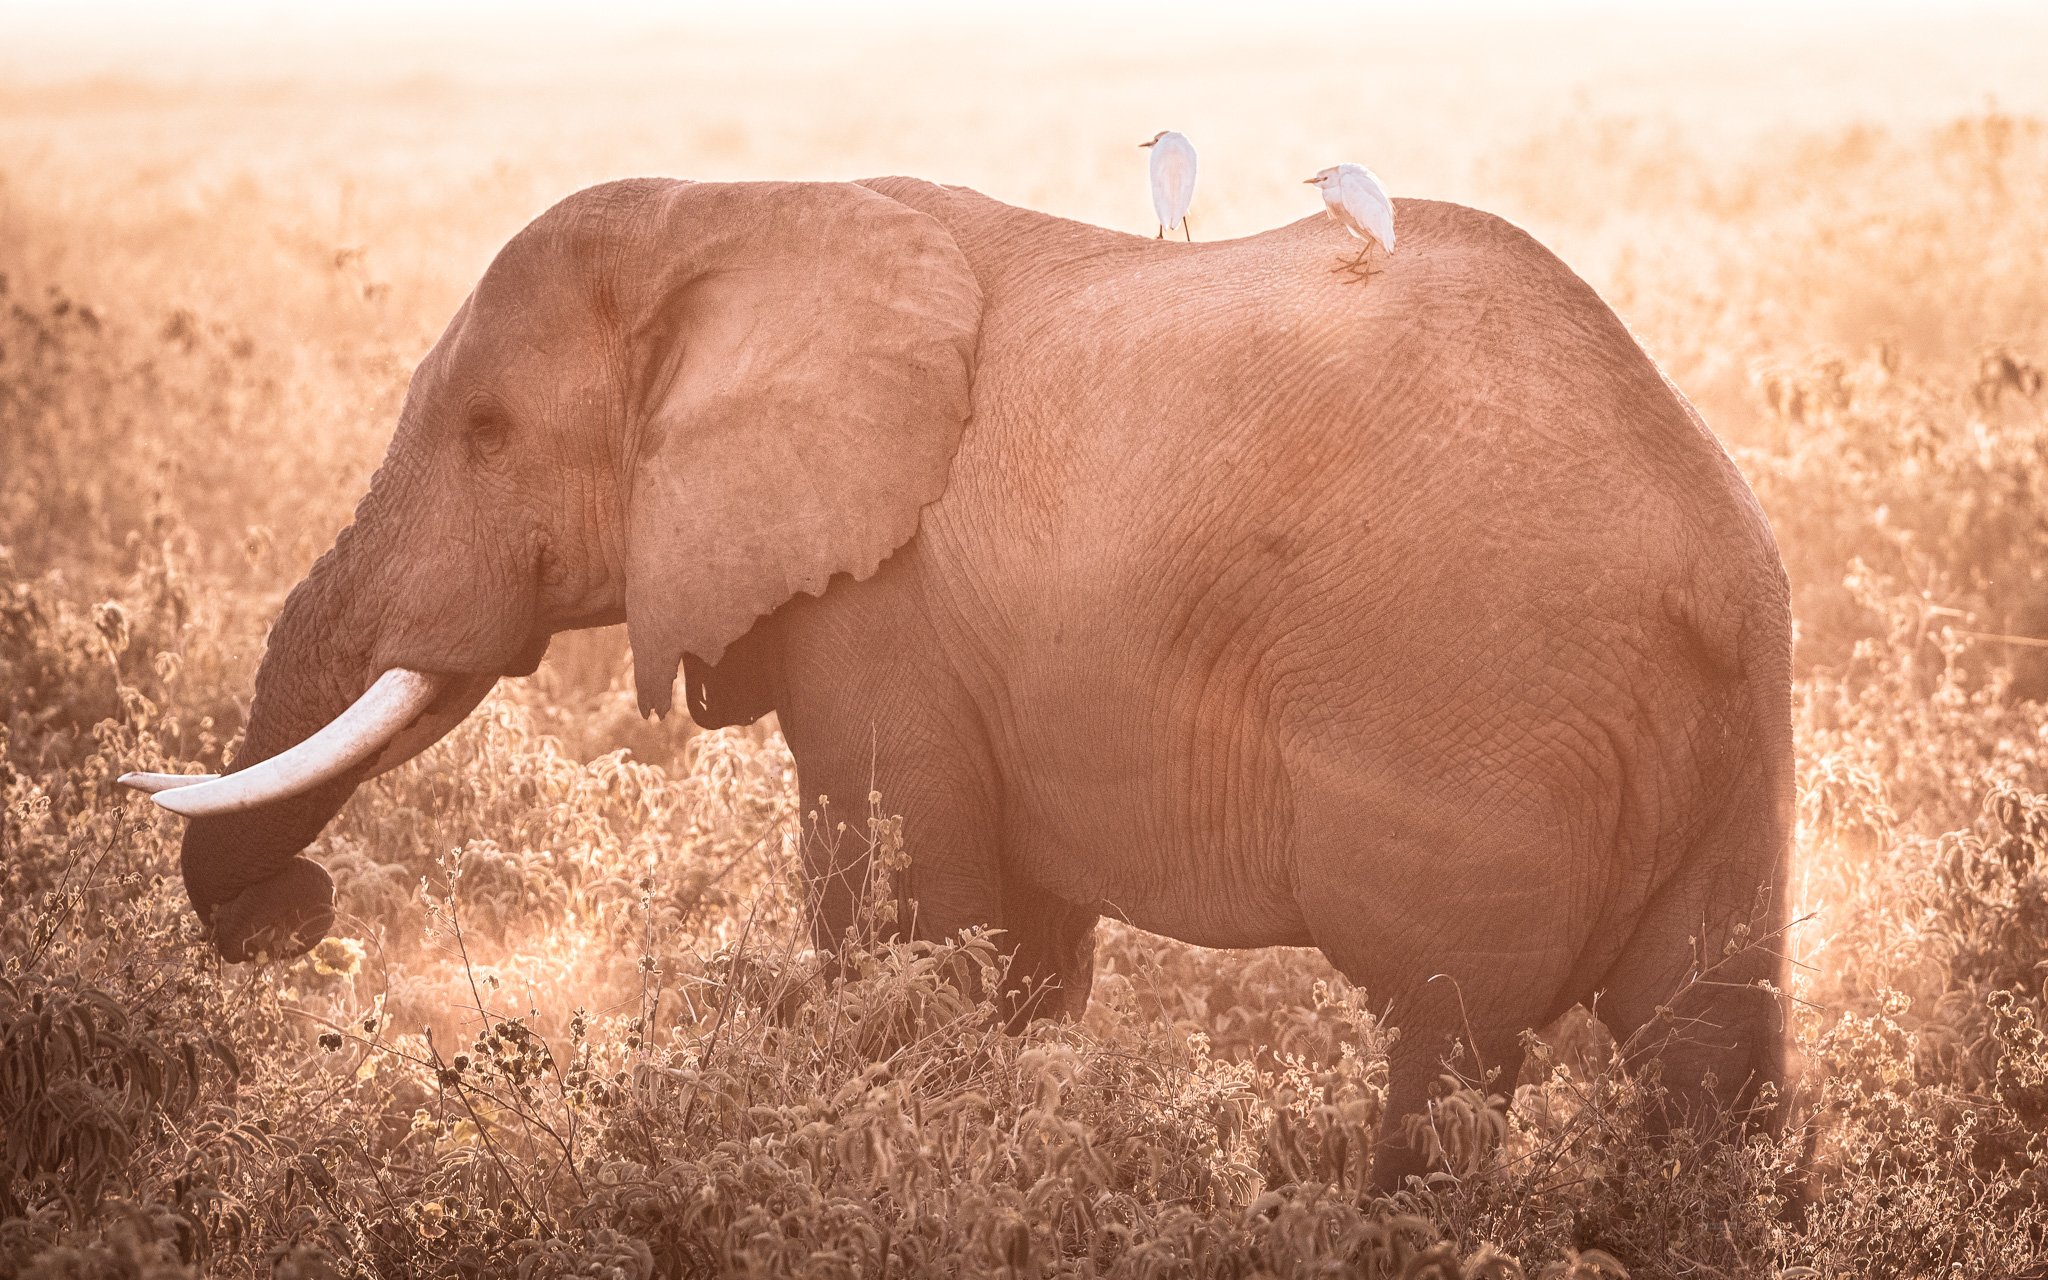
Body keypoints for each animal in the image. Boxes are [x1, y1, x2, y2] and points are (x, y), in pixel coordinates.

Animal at [128, 175, 1794, 1179]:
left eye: (485, 435)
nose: (298, 920)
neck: (740, 208)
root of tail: (1705, 554)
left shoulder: (889, 608)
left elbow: (907, 931)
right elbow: (1019, 959)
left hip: (1480, 716)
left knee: (1446, 1054)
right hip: (1730, 740)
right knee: (1708, 1058)